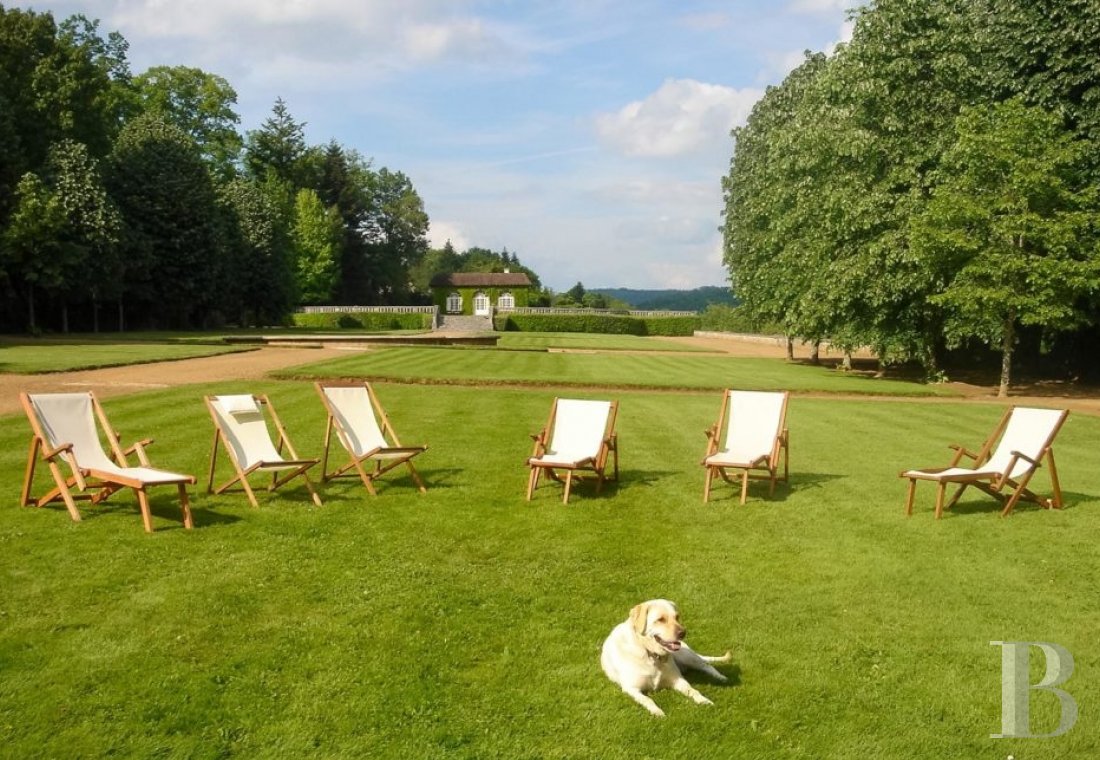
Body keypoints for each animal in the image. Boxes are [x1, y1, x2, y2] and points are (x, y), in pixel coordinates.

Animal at [602, 602, 730, 721]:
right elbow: (648, 699)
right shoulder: (631, 688)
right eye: (660, 619)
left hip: (685, 655)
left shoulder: (678, 680)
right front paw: (657, 712)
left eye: (677, 617)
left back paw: (721, 677)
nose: (683, 633)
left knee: (706, 665)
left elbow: (693, 690)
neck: (650, 654)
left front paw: (704, 700)